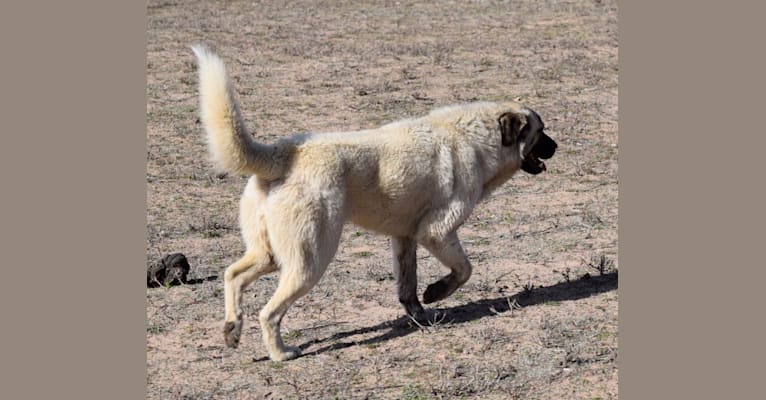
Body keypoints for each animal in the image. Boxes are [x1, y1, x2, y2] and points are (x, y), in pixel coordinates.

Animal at [192, 45, 560, 360]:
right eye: (540, 131)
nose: (557, 146)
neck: (476, 138)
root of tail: (284, 152)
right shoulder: (437, 232)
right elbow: (464, 270)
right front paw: (437, 292)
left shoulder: (405, 238)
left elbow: (408, 286)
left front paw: (420, 313)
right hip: (310, 260)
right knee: (269, 312)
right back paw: (281, 353)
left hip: (269, 253)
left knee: (232, 275)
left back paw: (232, 329)